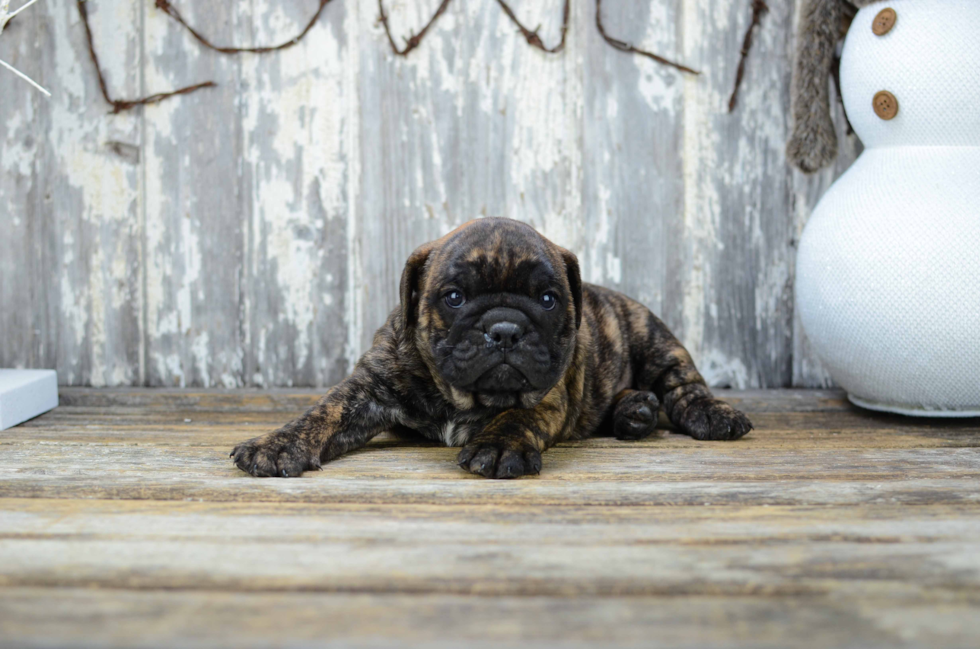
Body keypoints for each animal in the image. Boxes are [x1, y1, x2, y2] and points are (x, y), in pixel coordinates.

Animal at [234, 218, 756, 476]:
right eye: (454, 296)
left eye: (547, 300)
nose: (504, 329)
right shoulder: (370, 387)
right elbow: (322, 412)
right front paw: (276, 444)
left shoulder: (547, 393)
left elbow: (517, 416)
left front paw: (500, 446)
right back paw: (635, 412)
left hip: (654, 337)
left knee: (684, 385)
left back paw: (706, 413)